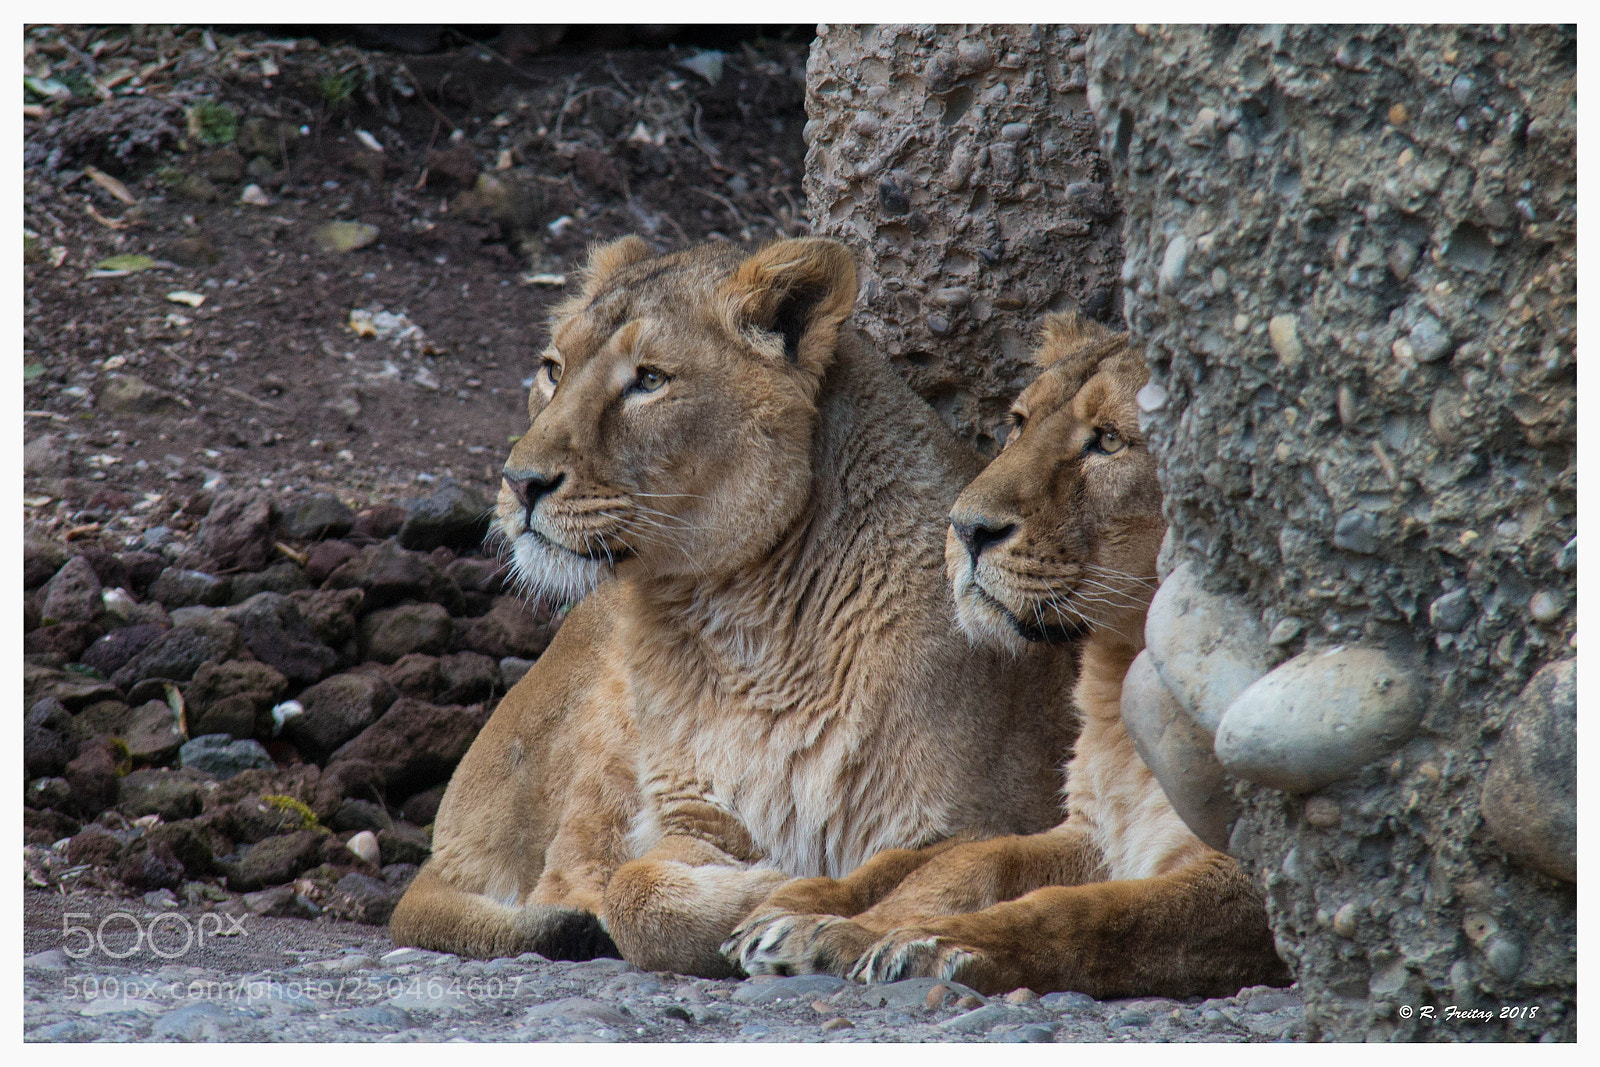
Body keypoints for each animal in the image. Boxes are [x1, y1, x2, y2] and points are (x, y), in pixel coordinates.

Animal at [389, 236, 1080, 976]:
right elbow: (639, 893)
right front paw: (773, 888)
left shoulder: (972, 814)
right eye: (552, 368)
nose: (520, 483)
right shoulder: (699, 816)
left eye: (650, 380)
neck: (741, 628)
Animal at [723, 313, 1291, 998]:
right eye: (1019, 423)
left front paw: (934, 942)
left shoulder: (1251, 876)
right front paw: (829, 921)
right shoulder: (1088, 831)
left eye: (1108, 441)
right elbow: (977, 856)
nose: (965, 528)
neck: (1118, 672)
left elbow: (1096, 914)